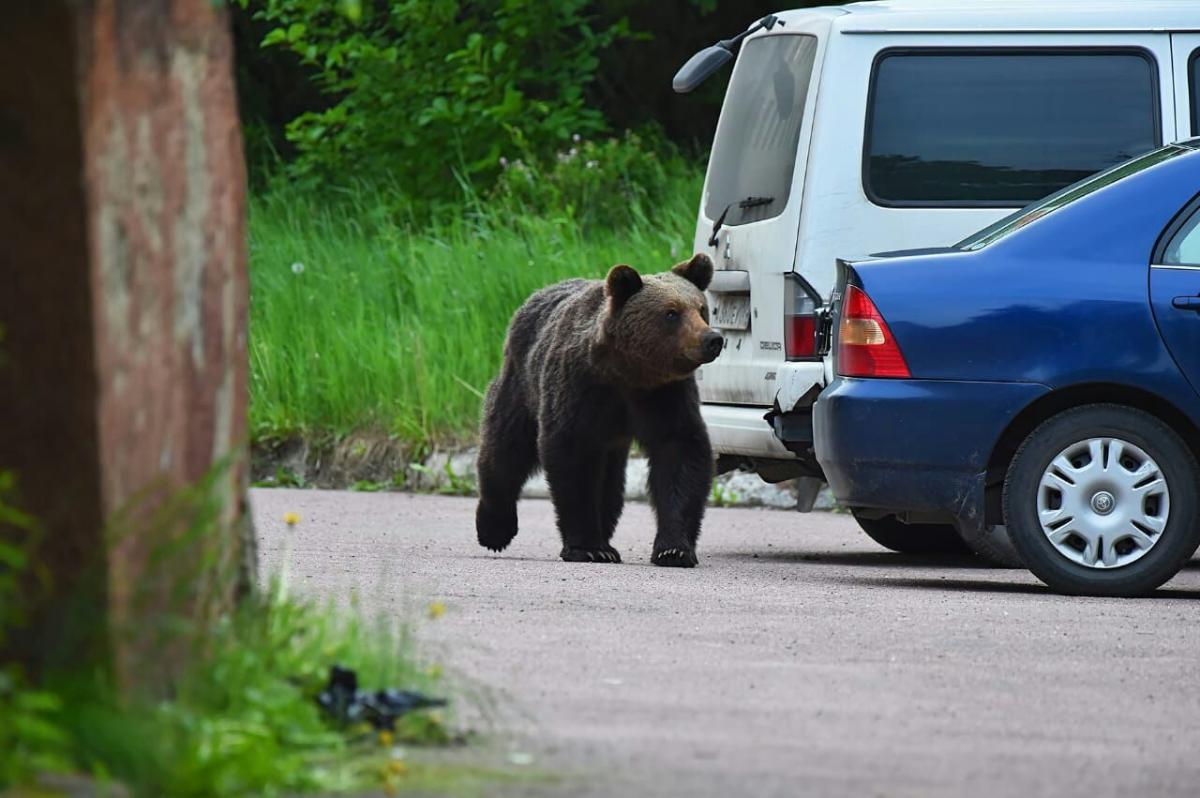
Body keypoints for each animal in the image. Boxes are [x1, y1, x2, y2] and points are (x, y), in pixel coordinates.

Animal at [477, 252, 720, 564]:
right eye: (671, 313)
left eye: (701, 308)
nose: (712, 339)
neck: (627, 373)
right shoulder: (580, 389)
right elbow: (572, 459)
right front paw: (588, 547)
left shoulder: (665, 396)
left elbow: (680, 453)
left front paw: (674, 548)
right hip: (522, 385)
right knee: (506, 449)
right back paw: (494, 529)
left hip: (610, 439)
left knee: (610, 484)